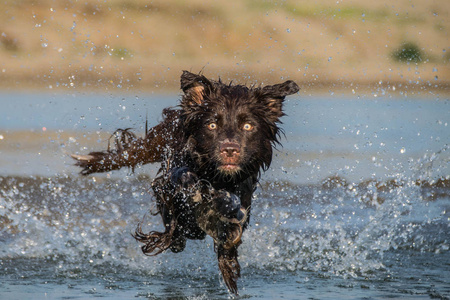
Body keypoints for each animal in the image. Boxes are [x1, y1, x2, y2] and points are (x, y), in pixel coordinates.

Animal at [73, 71, 298, 294]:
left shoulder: (244, 197)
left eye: (248, 126)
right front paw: (191, 189)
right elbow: (178, 186)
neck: (215, 176)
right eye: (212, 124)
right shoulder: (166, 183)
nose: (229, 149)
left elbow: (232, 220)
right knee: (132, 153)